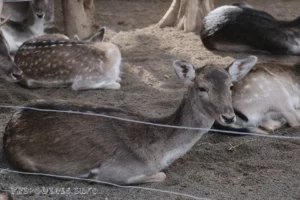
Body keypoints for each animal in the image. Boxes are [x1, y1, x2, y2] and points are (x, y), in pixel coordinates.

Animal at [2, 56, 255, 184]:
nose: (229, 116)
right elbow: (161, 175)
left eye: (231, 86)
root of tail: (9, 125)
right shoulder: (117, 170)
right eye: (202, 87)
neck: (159, 151)